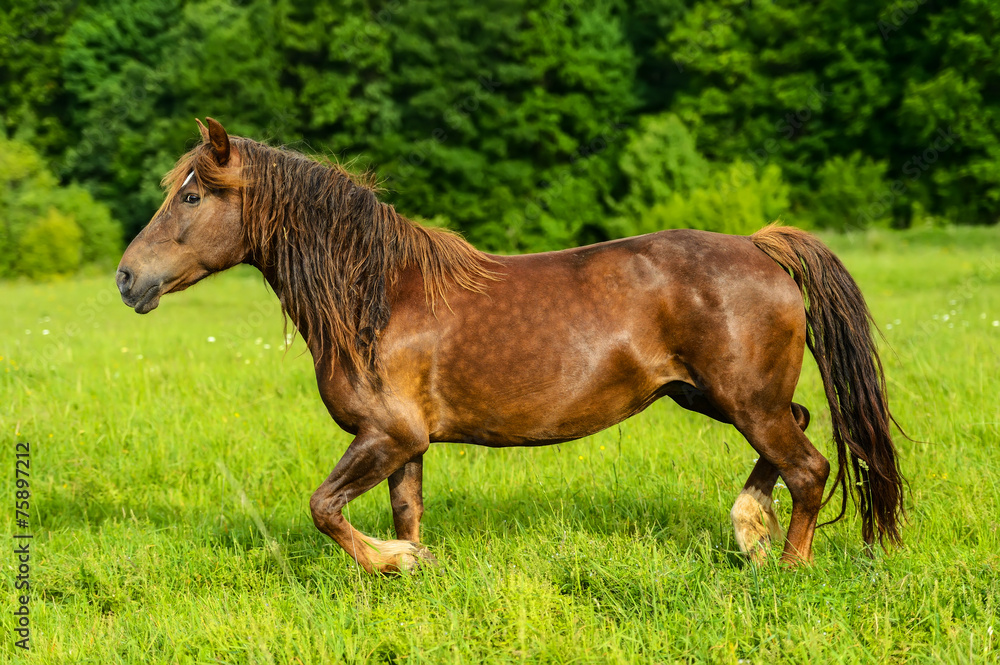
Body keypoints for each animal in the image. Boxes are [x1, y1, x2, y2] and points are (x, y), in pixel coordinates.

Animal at [116, 118, 905, 573]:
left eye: (192, 195)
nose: (127, 279)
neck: (377, 294)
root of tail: (761, 245)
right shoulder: (405, 443)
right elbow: (403, 512)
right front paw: (416, 562)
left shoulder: (386, 435)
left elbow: (324, 508)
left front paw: (395, 562)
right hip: (713, 395)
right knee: (798, 432)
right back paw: (749, 530)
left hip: (744, 400)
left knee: (809, 466)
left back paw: (786, 564)